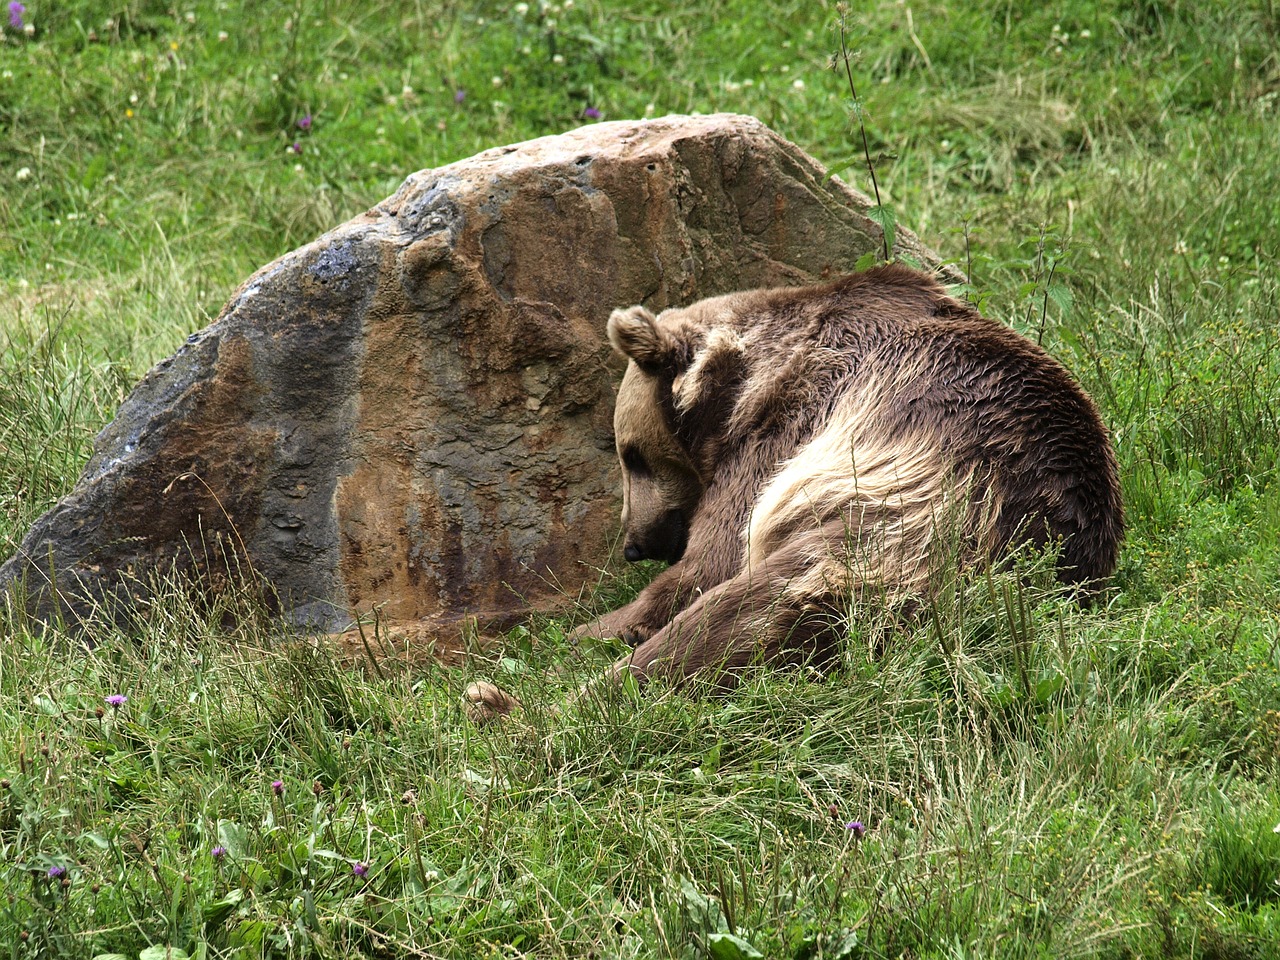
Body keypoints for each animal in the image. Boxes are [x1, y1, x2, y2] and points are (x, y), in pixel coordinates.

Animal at [465, 264, 1126, 721]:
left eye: (630, 454)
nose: (634, 543)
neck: (744, 375)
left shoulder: (791, 432)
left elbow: (710, 566)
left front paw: (582, 630)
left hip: (900, 521)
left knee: (744, 611)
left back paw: (506, 704)